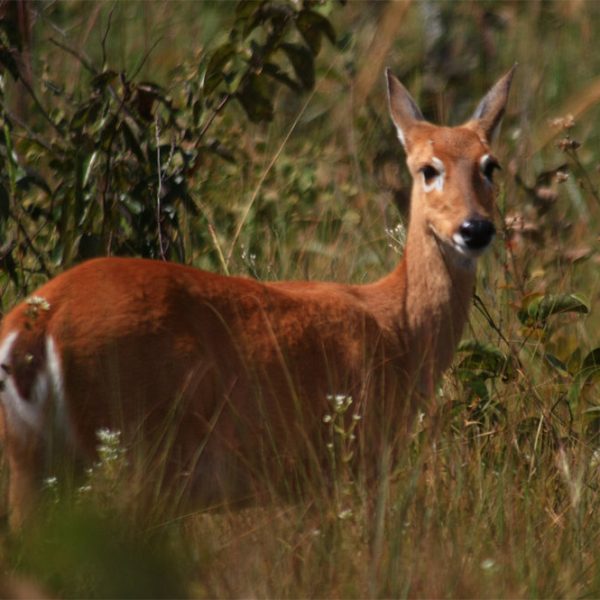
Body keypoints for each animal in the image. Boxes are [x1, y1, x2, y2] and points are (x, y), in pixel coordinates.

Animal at [0, 67, 514, 528]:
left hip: (33, 461)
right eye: (428, 169)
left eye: (491, 164)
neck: (399, 328)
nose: (475, 228)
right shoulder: (350, 461)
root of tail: (37, 324)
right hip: (129, 452)